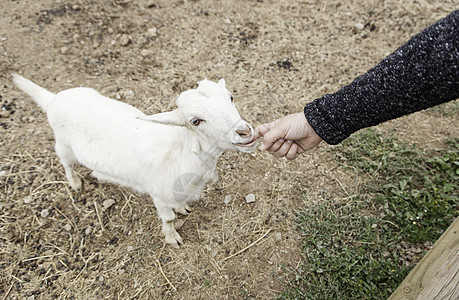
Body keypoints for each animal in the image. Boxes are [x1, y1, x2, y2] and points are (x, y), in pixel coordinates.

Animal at [12, 74, 258, 247]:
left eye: (231, 97)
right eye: (195, 121)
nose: (244, 132)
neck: (181, 151)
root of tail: (53, 99)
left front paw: (183, 209)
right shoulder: (158, 194)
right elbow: (168, 218)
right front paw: (172, 238)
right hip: (63, 144)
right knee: (66, 163)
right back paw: (74, 182)